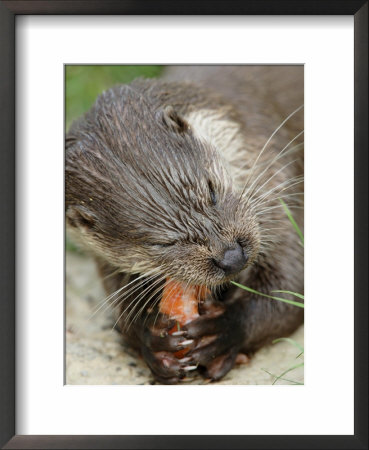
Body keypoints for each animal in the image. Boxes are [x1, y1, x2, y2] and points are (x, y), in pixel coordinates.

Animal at [65, 66, 302, 384]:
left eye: (211, 191)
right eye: (161, 243)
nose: (231, 257)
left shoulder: (276, 183)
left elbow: (290, 288)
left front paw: (223, 330)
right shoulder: (103, 258)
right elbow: (121, 308)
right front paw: (150, 340)